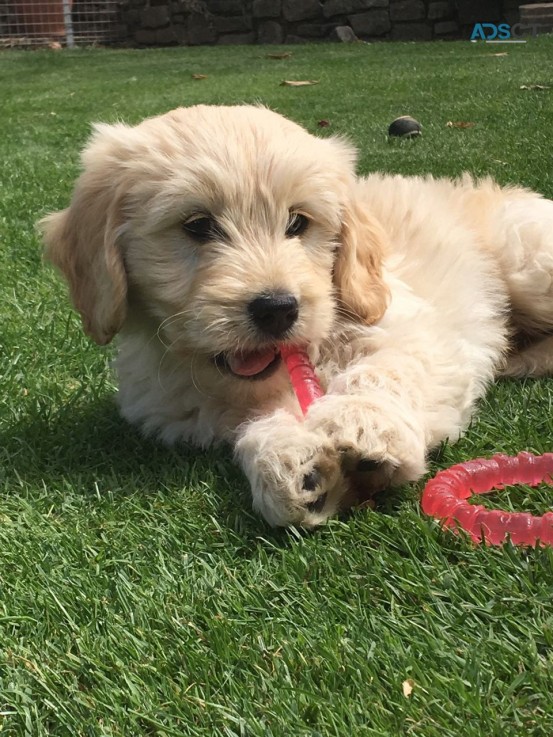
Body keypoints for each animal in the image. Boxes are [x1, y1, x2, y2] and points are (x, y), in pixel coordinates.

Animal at [41, 106, 552, 528]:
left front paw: (364, 423)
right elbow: (253, 421)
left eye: (298, 223)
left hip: (527, 258)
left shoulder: (416, 326)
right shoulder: (191, 410)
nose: (277, 308)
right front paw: (289, 461)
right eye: (197, 226)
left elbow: (388, 365)